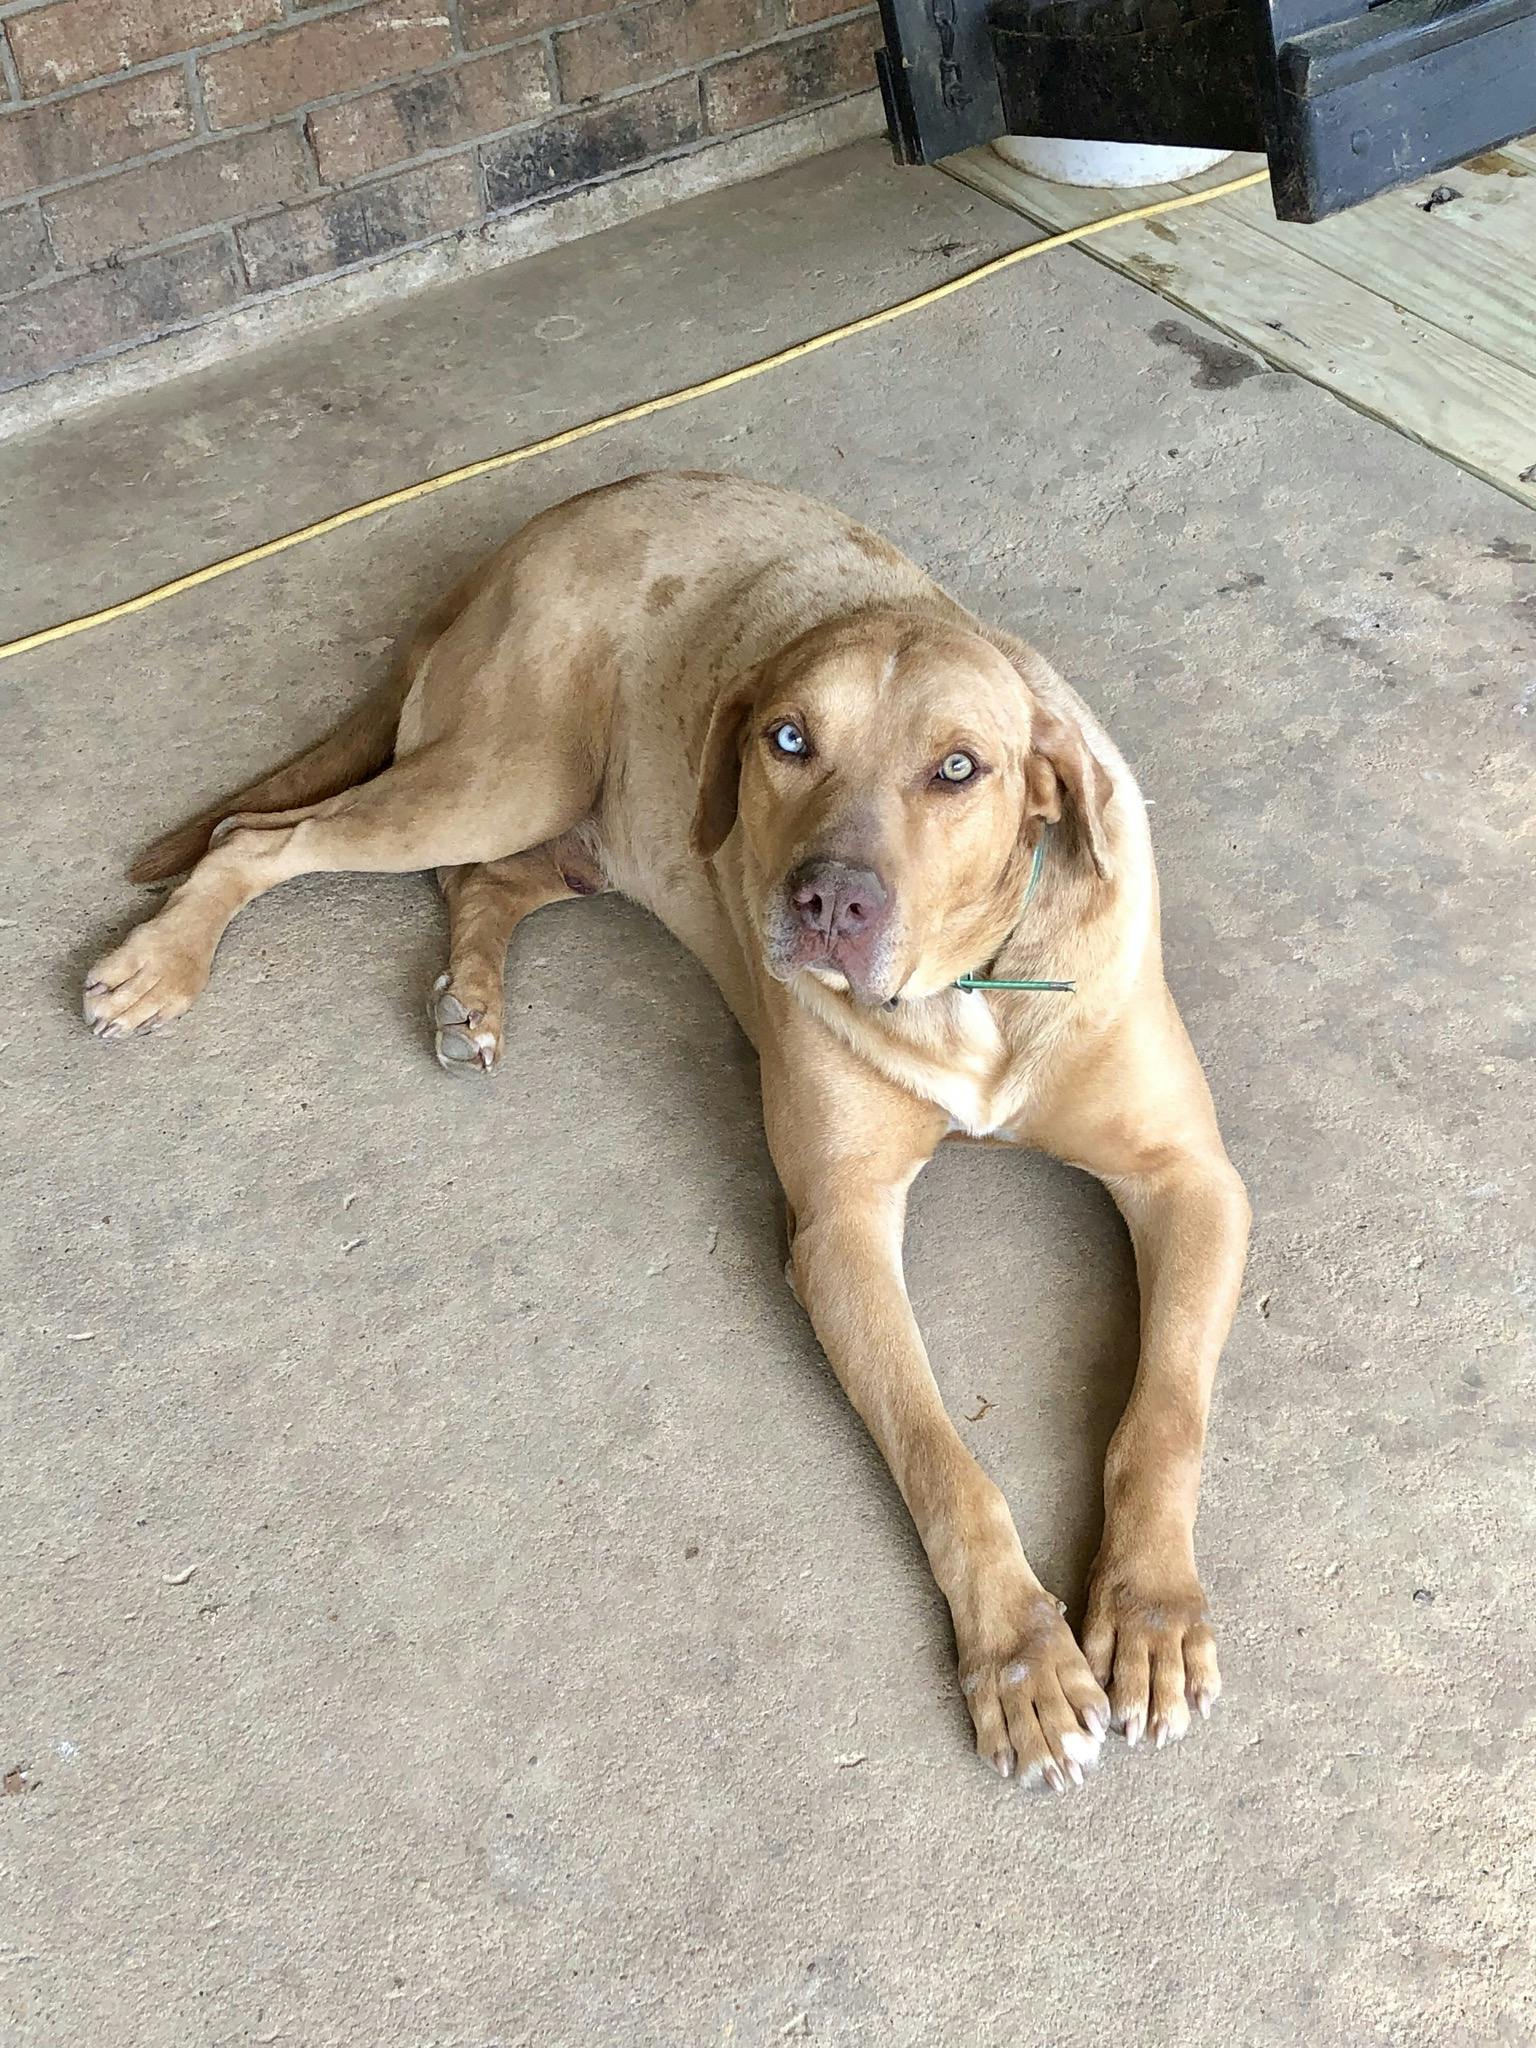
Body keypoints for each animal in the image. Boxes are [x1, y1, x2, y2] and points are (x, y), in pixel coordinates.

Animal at [87, 471, 1253, 1785]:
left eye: (961, 767)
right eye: (788, 740)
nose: (829, 901)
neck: (969, 989)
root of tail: (542, 523)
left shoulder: (1192, 1179)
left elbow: (1163, 1413)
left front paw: (1150, 1611)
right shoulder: (840, 1230)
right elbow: (942, 1458)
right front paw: (1020, 1657)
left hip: (574, 823)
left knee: (480, 881)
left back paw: (471, 995)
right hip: (509, 768)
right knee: (264, 839)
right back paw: (165, 957)